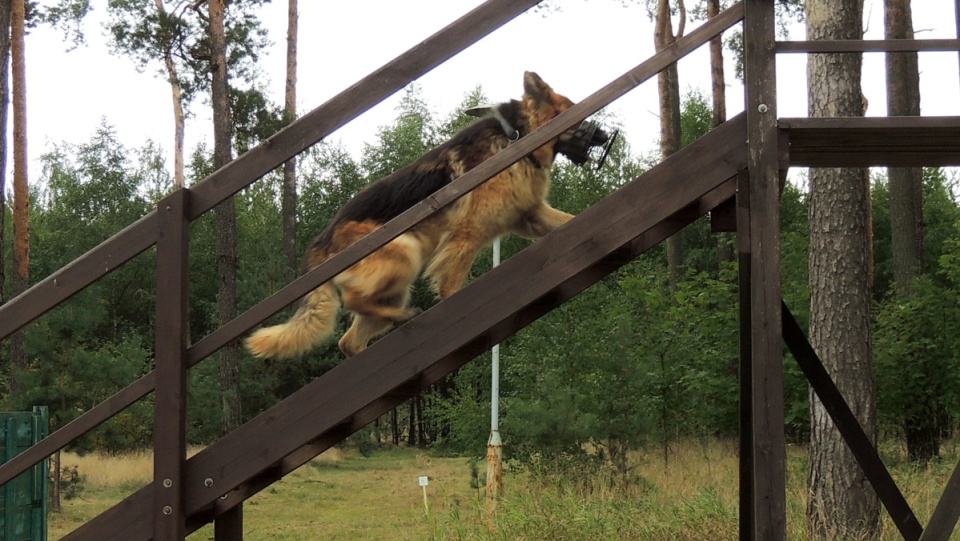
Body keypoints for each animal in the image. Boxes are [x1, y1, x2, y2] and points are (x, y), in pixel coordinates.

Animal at [248, 71, 608, 358]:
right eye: (575, 111)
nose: (605, 136)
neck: (518, 138)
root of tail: (321, 242)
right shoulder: (465, 238)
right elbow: (453, 287)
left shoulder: (530, 216)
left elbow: (568, 221)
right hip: (405, 252)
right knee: (352, 299)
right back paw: (402, 318)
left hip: (395, 286)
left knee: (350, 339)